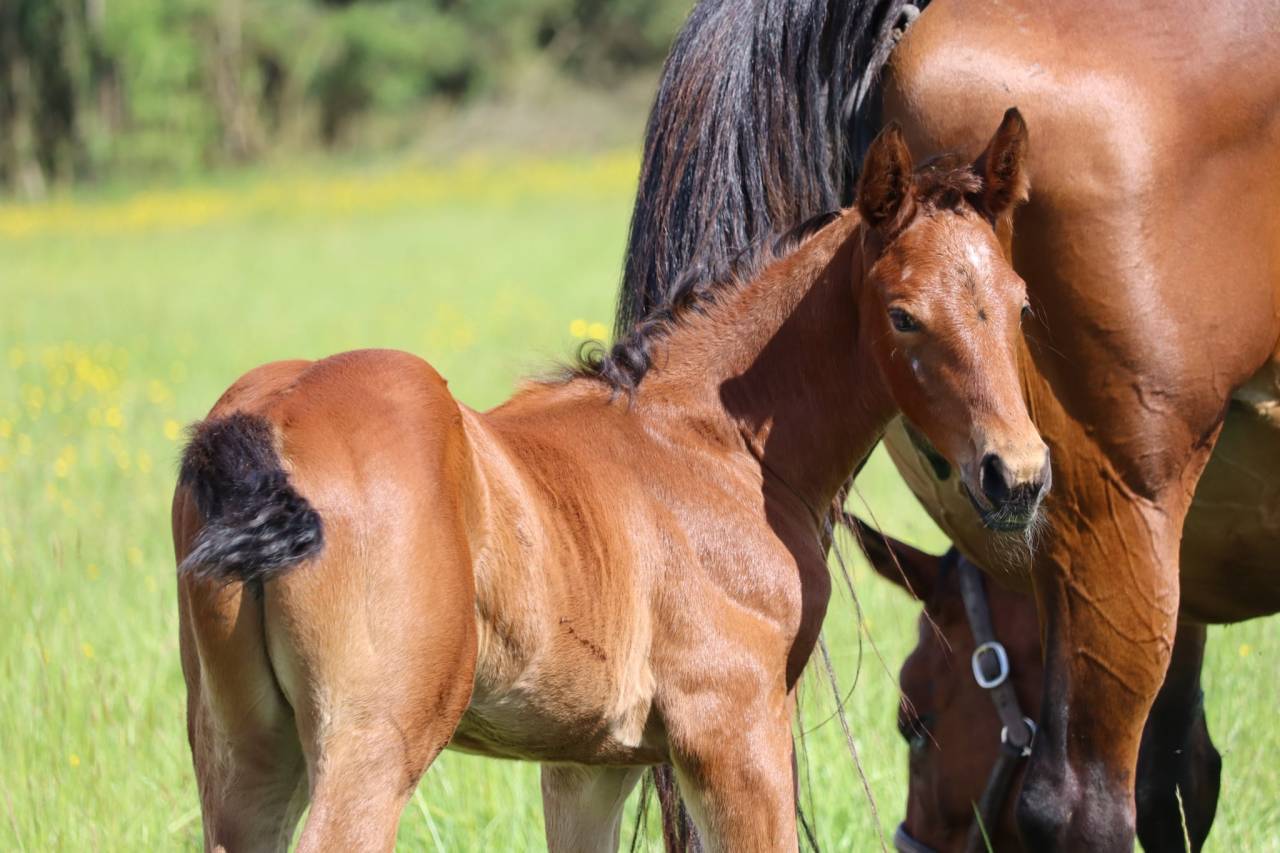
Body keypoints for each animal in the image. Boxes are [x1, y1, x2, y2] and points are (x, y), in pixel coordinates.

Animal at [172, 117, 1047, 852]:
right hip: (372, 745)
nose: (1017, 477)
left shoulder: (591, 760)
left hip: (242, 755)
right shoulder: (733, 729)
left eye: (1020, 304)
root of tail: (269, 417)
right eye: (902, 315)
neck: (709, 444)